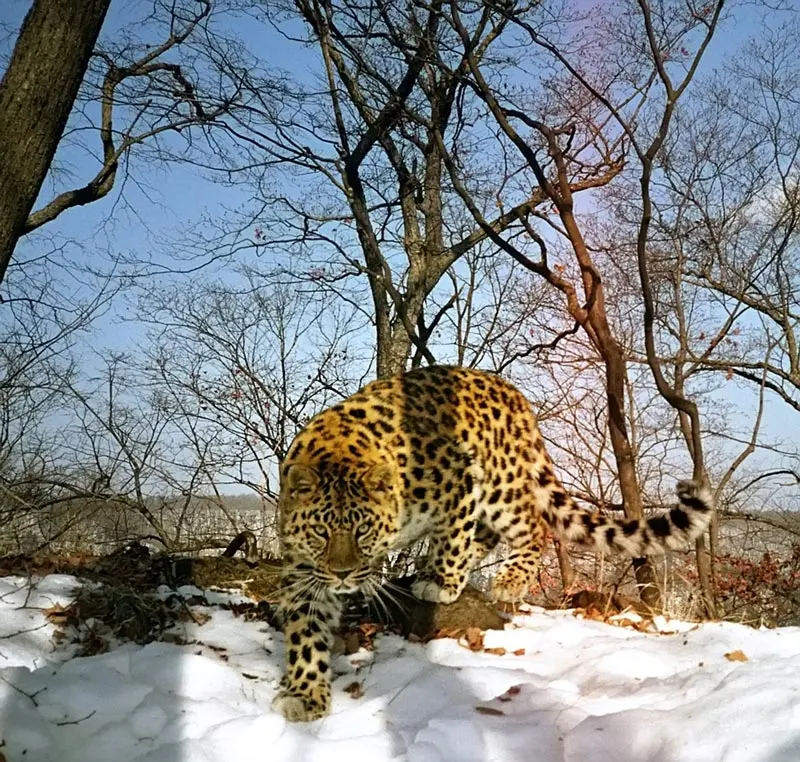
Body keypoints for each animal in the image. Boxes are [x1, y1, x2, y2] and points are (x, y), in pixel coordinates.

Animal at [271, 365, 713, 722]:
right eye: (321, 532)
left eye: (363, 530)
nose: (343, 575)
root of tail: (513, 393)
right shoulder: (305, 571)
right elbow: (306, 631)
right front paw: (305, 694)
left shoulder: (458, 478)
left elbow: (452, 538)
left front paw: (442, 583)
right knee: (487, 534)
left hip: (499, 483)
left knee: (532, 527)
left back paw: (504, 580)